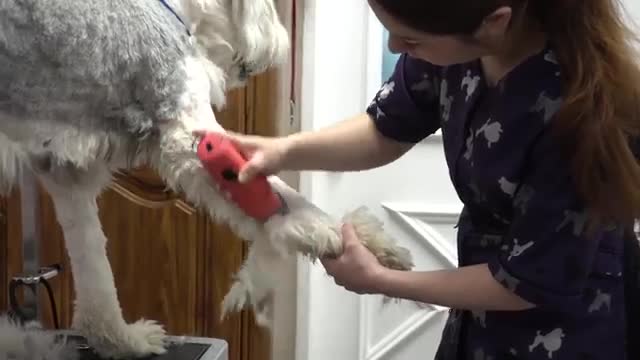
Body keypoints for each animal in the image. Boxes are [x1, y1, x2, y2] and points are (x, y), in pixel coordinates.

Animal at [0, 0, 412, 358]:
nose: (280, 45)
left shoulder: (67, 172)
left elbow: (92, 260)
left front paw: (120, 340)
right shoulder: (186, 133)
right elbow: (287, 199)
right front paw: (336, 234)